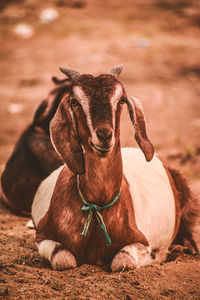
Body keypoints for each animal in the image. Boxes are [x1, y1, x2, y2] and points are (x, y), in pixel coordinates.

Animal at [31, 66, 200, 272]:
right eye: (75, 102)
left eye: (120, 100)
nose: (104, 135)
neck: (97, 205)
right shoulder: (43, 237)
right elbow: (64, 260)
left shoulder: (140, 241)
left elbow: (122, 261)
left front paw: (156, 256)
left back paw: (188, 247)